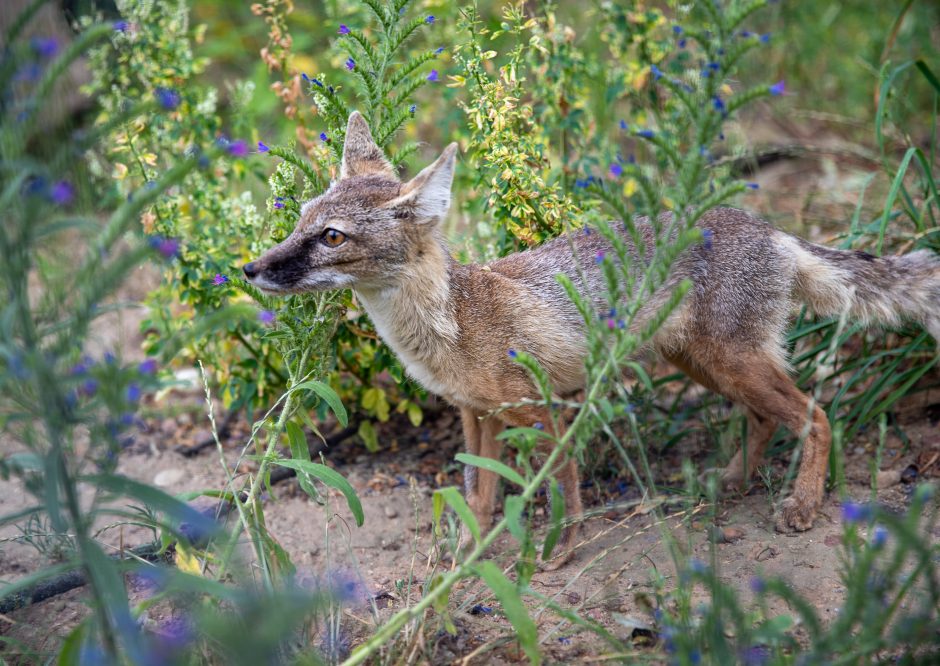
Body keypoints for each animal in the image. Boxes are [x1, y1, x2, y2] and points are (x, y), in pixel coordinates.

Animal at [246, 113, 940, 564]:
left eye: (331, 237)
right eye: (301, 221)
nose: (251, 269)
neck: (455, 321)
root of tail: (770, 227)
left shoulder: (545, 411)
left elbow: (563, 492)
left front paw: (559, 552)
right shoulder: (477, 416)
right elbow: (482, 497)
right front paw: (469, 556)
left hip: (731, 363)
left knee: (815, 415)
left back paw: (802, 504)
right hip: (703, 365)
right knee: (765, 418)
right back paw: (730, 481)